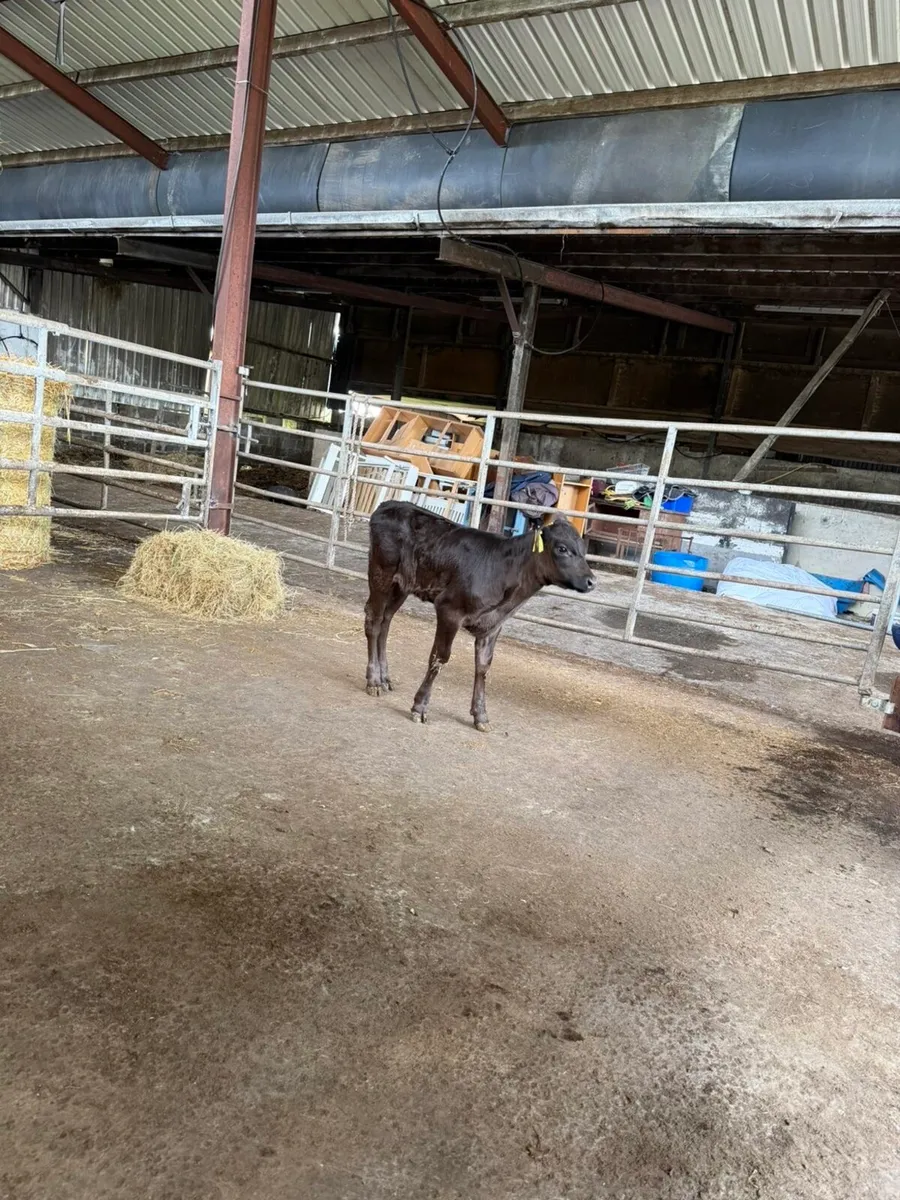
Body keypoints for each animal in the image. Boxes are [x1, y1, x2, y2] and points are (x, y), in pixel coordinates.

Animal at [364, 500, 594, 732]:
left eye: (584, 550)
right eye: (562, 548)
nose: (591, 581)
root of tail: (389, 504)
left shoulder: (493, 625)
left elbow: (483, 666)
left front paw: (481, 715)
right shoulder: (449, 610)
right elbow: (439, 658)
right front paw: (419, 707)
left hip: (402, 585)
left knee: (386, 621)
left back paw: (385, 678)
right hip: (381, 574)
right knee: (374, 620)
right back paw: (374, 681)